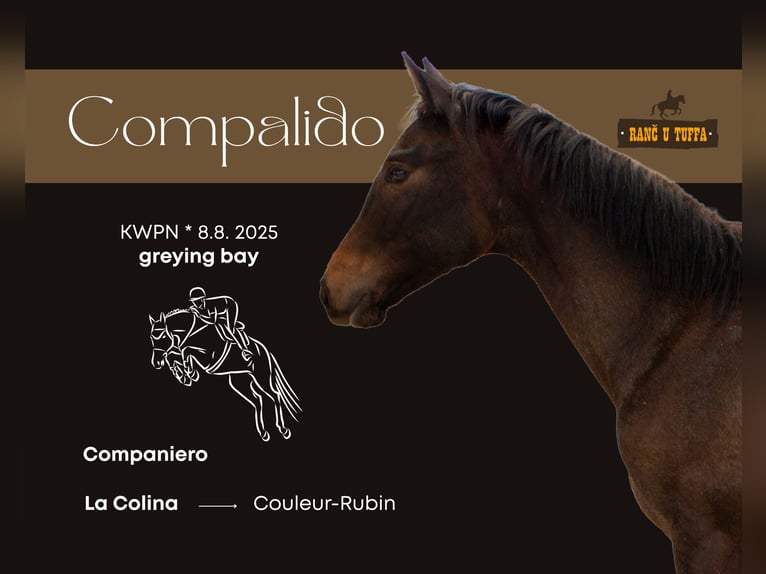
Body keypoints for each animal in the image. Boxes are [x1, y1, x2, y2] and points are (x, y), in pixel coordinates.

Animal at [149, 308, 301, 441]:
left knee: (275, 395)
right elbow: (174, 354)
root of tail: (265, 350)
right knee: (258, 401)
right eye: (151, 337)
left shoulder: (209, 358)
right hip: (239, 382)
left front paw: (190, 373)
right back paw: (263, 433)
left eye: (163, 336)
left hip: (261, 377)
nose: (156, 362)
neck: (194, 332)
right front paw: (182, 375)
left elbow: (186, 351)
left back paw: (283, 429)